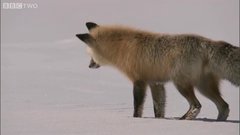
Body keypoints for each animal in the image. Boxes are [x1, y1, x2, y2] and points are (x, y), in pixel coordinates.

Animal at [76, 22, 240, 121]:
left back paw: (184, 120)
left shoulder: (139, 81)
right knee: (224, 106)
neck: (122, 48)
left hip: (181, 84)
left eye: (90, 55)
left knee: (197, 105)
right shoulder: (155, 83)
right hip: (204, 87)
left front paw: (136, 120)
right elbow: (159, 109)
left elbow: (138, 106)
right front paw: (159, 121)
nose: (89, 66)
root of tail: (206, 42)